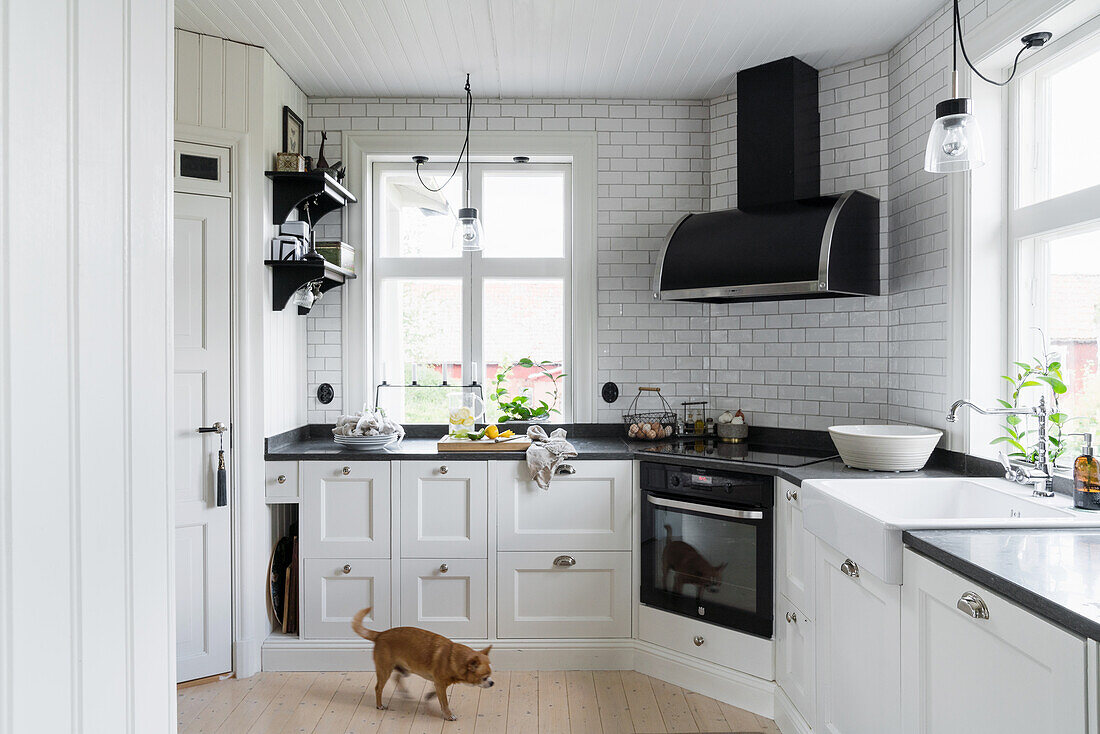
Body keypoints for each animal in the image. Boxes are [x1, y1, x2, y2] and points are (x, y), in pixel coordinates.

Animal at [352, 607, 495, 721]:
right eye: (484, 678)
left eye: (490, 676)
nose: (492, 683)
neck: (453, 657)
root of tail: (380, 634)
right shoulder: (440, 683)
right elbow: (444, 702)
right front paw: (448, 715)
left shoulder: (439, 683)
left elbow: (436, 693)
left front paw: (429, 695)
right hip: (385, 669)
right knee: (378, 688)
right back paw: (380, 705)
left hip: (405, 669)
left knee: (396, 677)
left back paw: (405, 693)